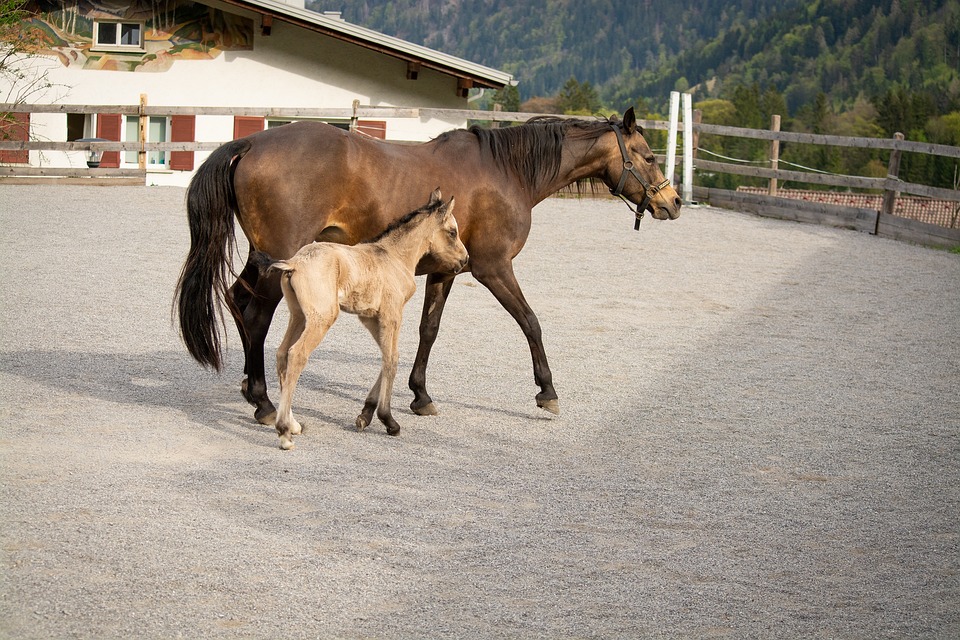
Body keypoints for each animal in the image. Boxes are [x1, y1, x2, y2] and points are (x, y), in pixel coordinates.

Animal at [253, 189, 468, 450]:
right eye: (452, 232)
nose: (465, 259)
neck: (394, 257)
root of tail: (293, 263)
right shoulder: (392, 315)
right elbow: (391, 360)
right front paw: (389, 421)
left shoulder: (370, 318)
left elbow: (388, 356)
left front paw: (366, 415)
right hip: (321, 318)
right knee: (297, 355)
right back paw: (284, 432)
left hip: (299, 316)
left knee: (283, 353)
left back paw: (293, 424)